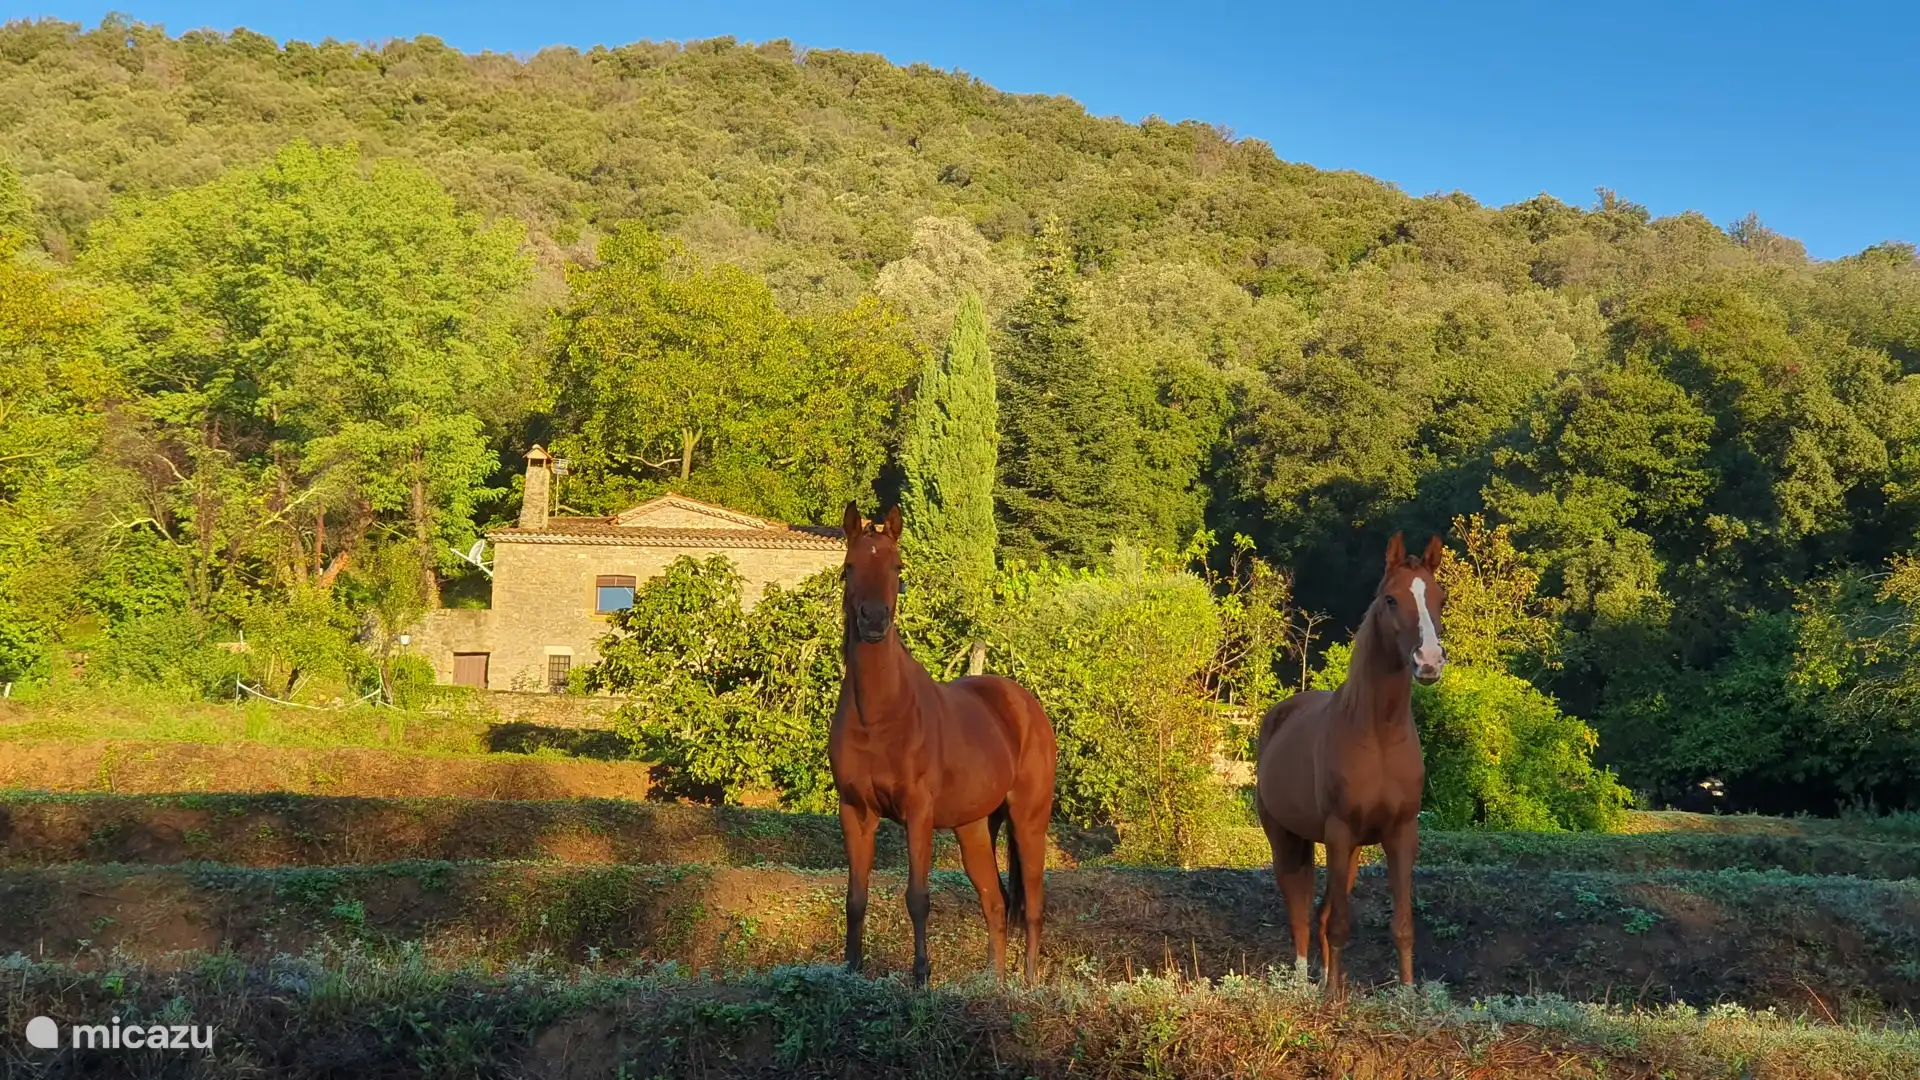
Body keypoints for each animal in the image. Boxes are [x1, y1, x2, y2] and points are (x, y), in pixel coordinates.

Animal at [829, 502, 1058, 986]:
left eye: (898, 567)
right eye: (850, 567)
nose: (874, 620)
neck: (879, 716)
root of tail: (1025, 705)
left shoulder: (918, 812)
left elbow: (917, 897)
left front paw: (921, 977)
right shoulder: (855, 811)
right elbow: (855, 899)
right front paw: (850, 972)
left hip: (1029, 821)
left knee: (1032, 907)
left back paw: (1028, 985)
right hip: (974, 828)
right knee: (995, 903)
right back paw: (994, 985)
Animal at [1254, 533, 1448, 999]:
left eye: (1441, 598)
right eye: (1392, 599)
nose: (1429, 661)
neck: (1378, 733)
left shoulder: (1400, 834)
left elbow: (1402, 926)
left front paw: (1406, 999)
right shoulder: (1339, 832)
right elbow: (1338, 924)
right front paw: (1330, 1001)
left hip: (1351, 850)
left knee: (1320, 912)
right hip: (1286, 839)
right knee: (1301, 912)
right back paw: (1304, 987)